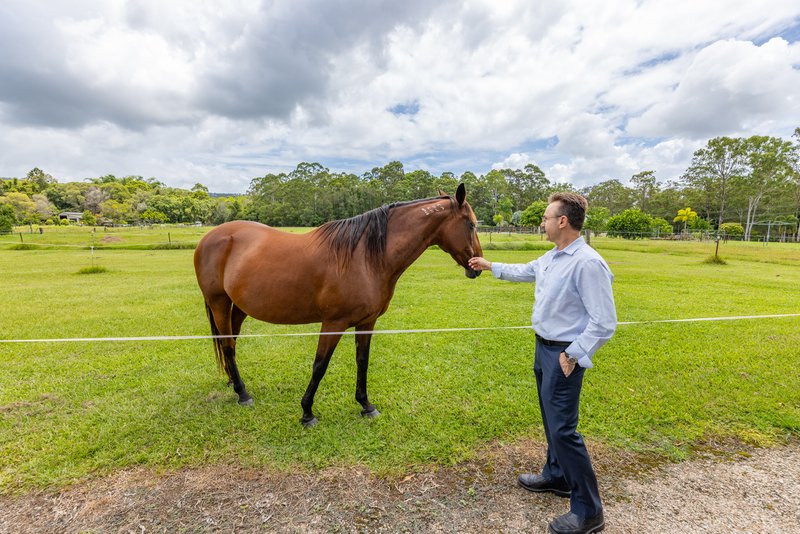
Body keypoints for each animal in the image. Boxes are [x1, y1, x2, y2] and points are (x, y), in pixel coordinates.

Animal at [194, 183, 482, 428]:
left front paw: (366, 405)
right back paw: (243, 394)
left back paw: (233, 382)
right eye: (471, 224)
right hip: (219, 303)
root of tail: (211, 237)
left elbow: (362, 361)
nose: (477, 266)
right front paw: (307, 412)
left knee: (230, 343)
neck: (365, 257)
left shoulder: (367, 322)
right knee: (227, 345)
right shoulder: (333, 323)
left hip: (239, 307)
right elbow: (320, 365)